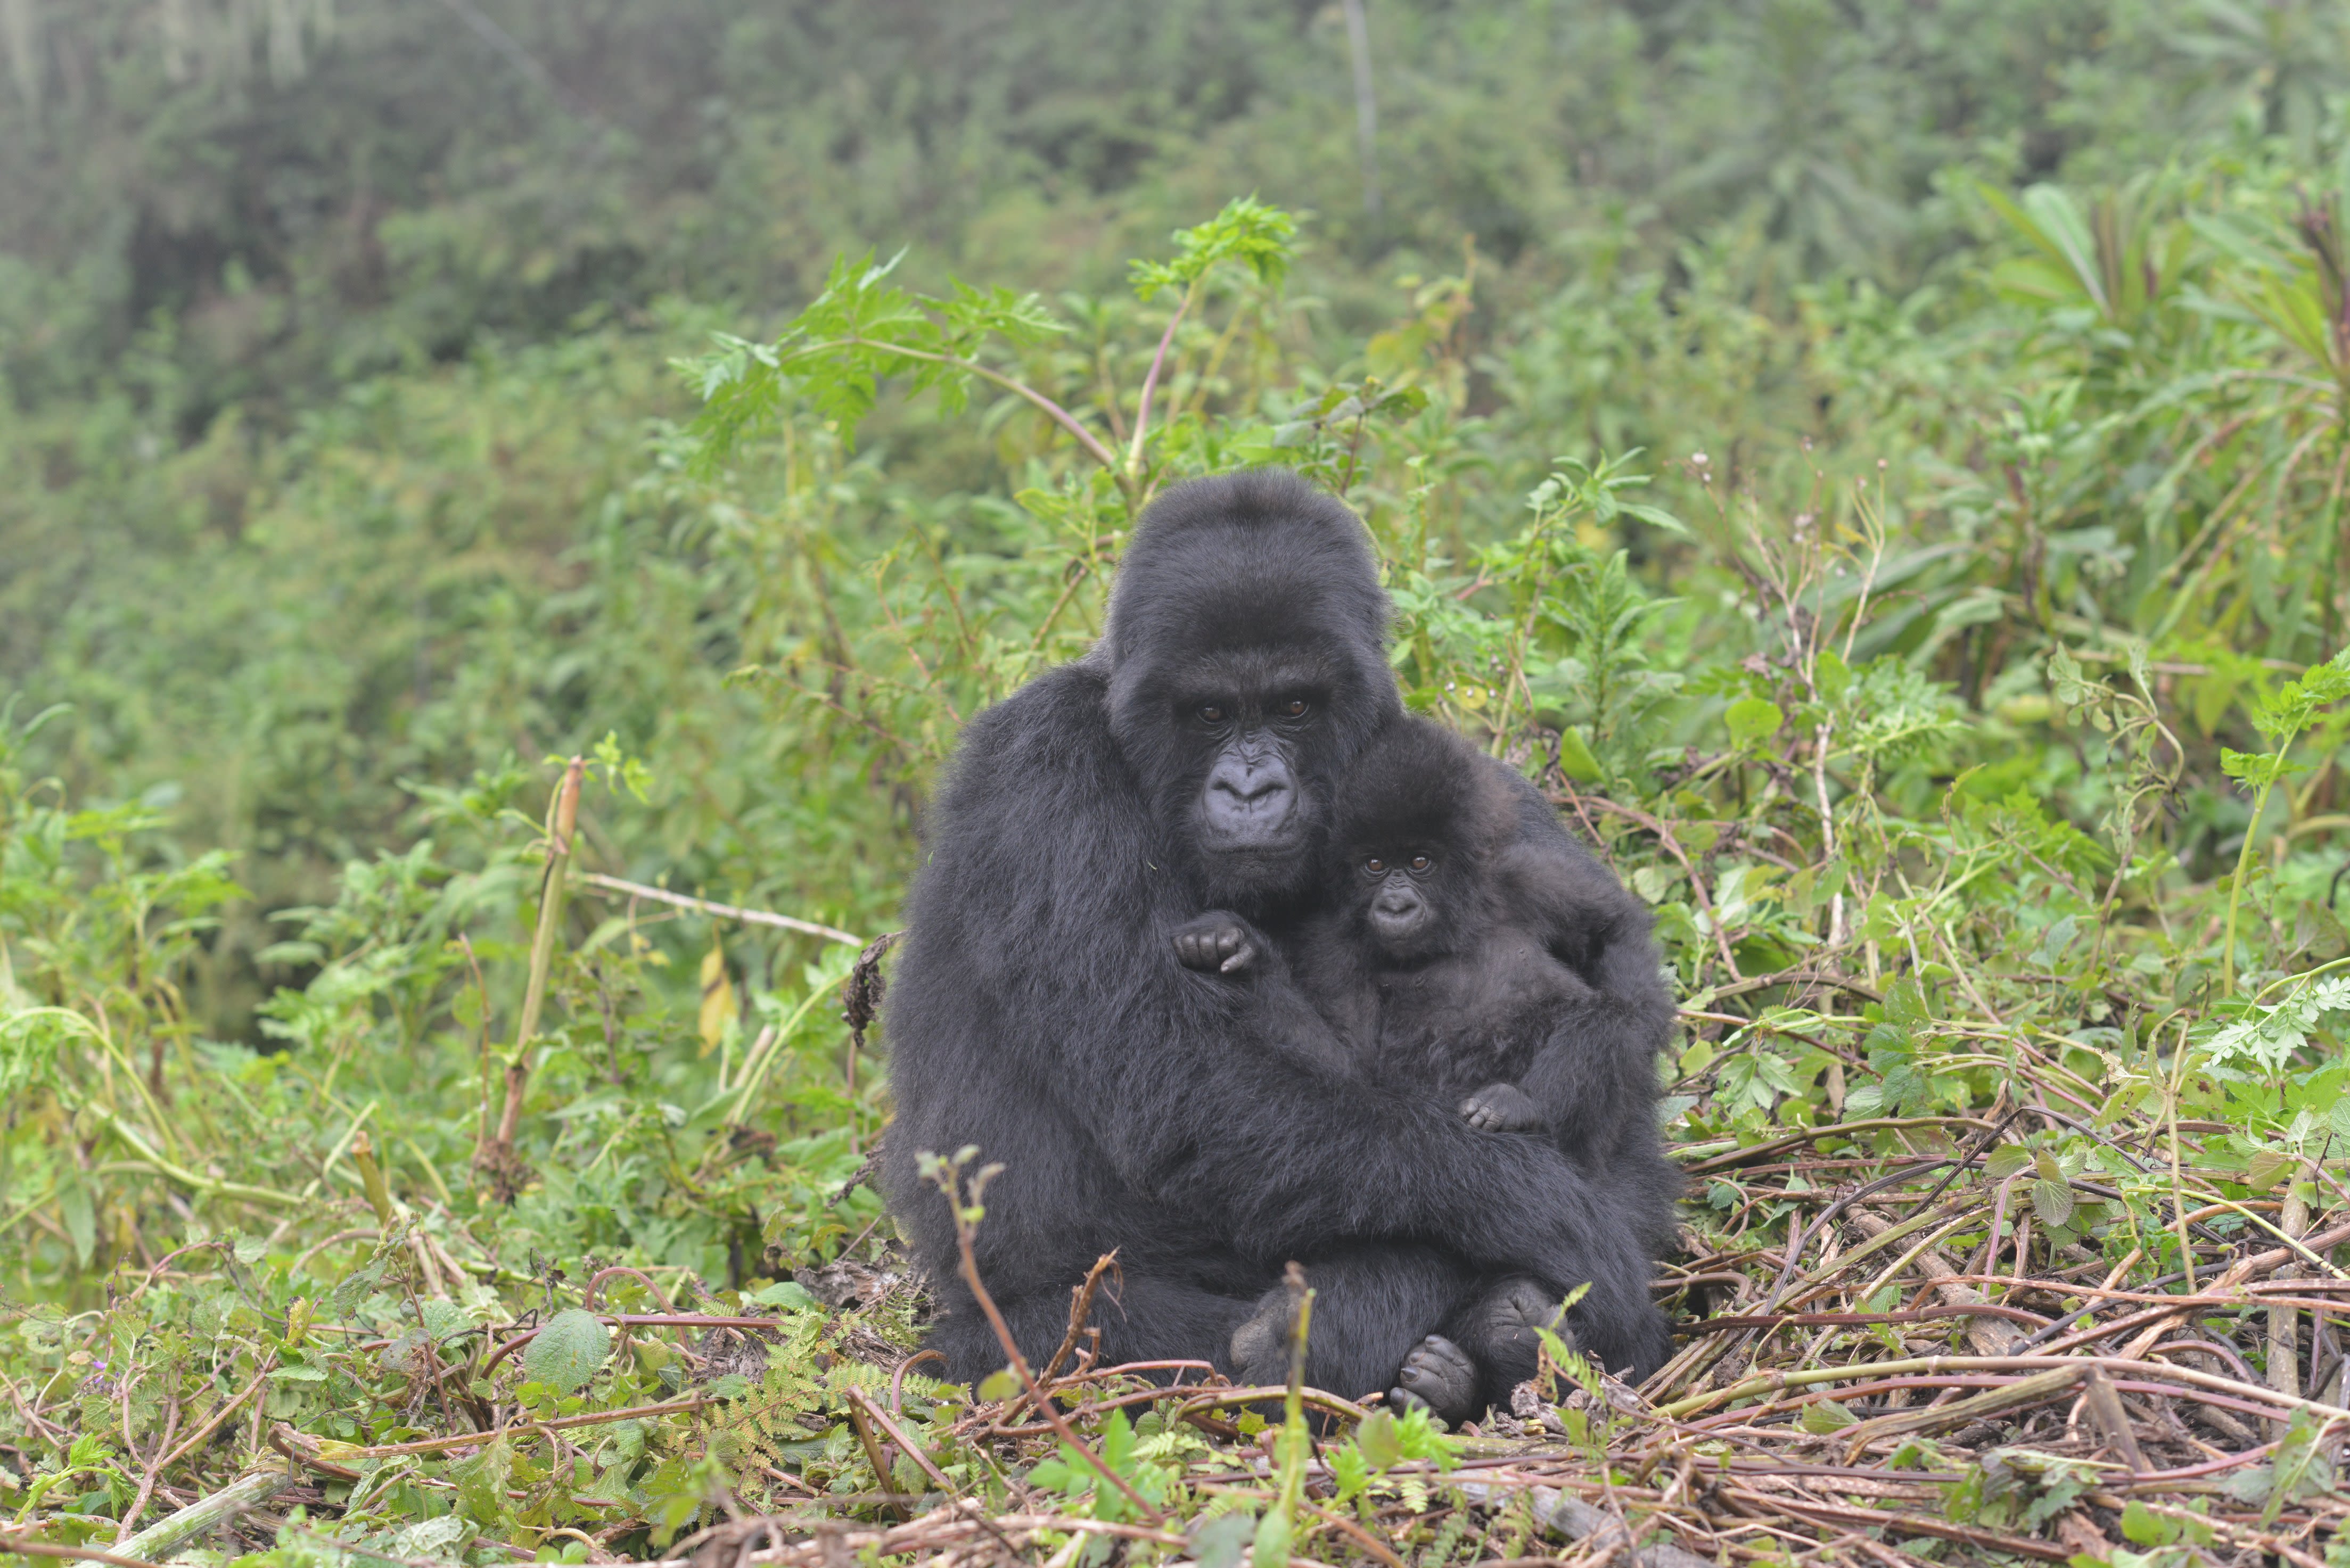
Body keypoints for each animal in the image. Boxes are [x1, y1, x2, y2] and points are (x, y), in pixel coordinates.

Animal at [878, 470, 1673, 1401]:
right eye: (1210, 712)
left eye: (1293, 705)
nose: (1251, 788)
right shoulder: (1040, 763)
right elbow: (1181, 1085)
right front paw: (1543, 1209)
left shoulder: (1487, 793)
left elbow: (1620, 1073)